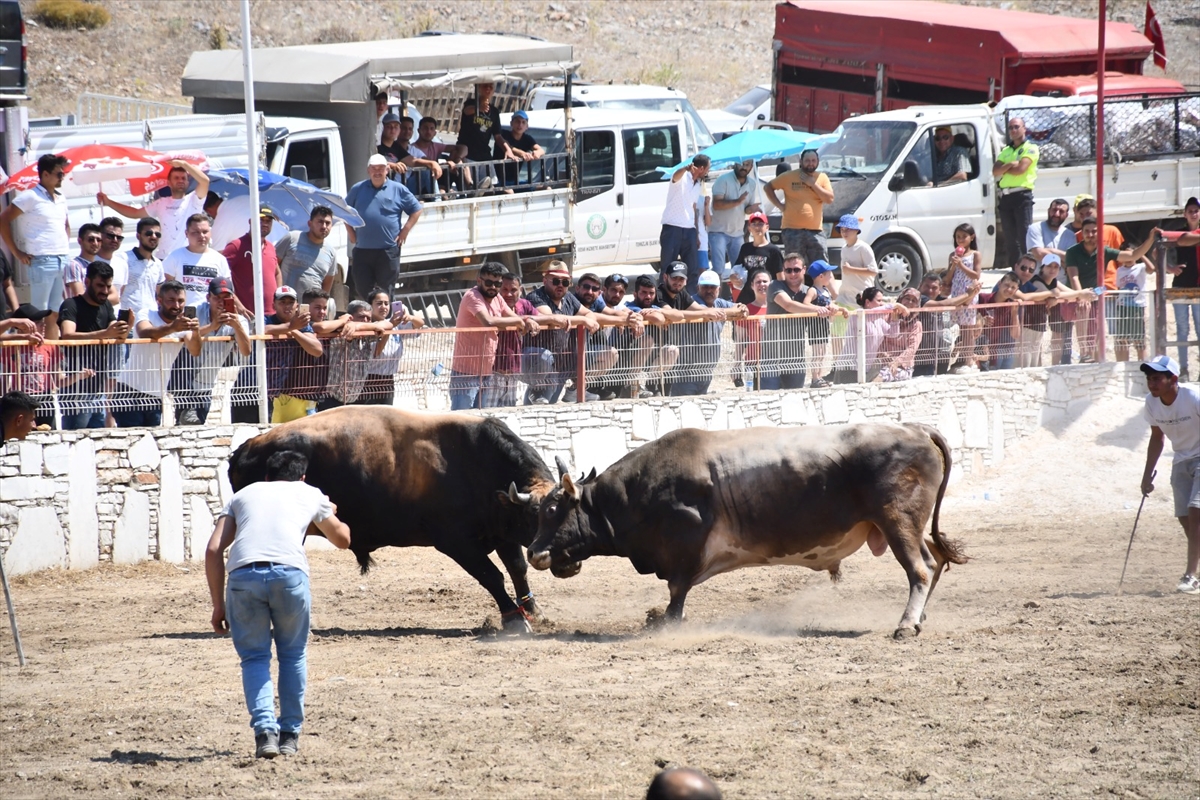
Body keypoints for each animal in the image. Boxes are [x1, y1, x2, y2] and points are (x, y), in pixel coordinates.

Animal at [226, 407, 554, 633]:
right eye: (537, 518)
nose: (549, 555)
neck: (475, 462)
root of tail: (247, 446)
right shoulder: (457, 543)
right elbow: (492, 576)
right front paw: (513, 619)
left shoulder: (502, 531)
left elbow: (517, 569)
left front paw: (533, 609)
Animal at [525, 422, 964, 633]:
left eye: (552, 509)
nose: (534, 553)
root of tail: (914, 428)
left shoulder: (685, 543)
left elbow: (677, 591)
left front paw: (664, 621)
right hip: (909, 525)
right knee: (934, 561)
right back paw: (919, 618)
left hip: (897, 521)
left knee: (920, 568)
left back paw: (906, 624)